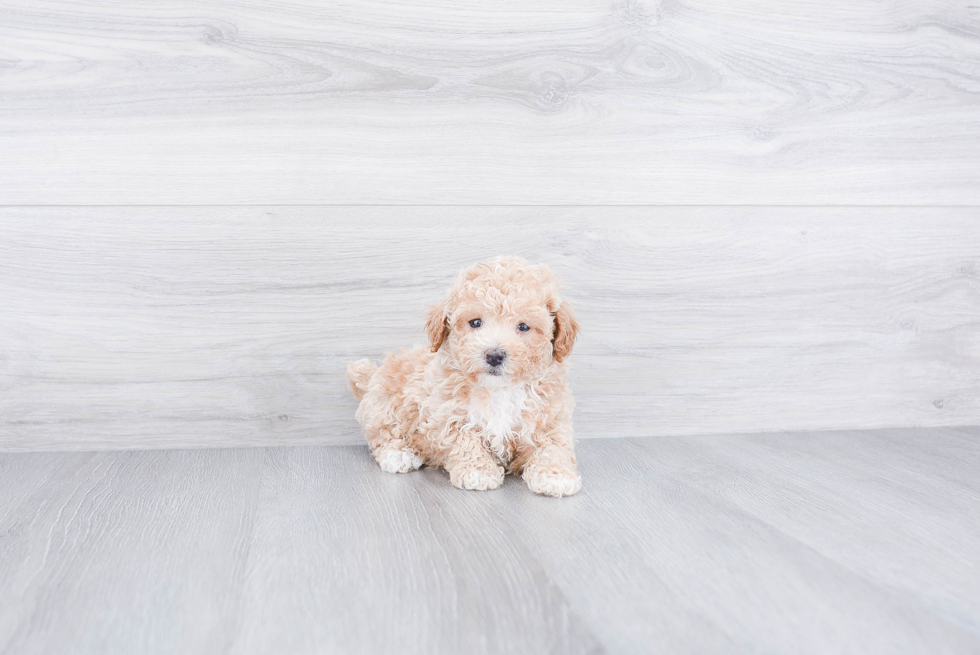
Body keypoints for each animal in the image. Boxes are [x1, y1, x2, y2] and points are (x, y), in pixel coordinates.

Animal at [346, 256, 580, 498]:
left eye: (523, 327)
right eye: (476, 322)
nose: (494, 355)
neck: (499, 389)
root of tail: (374, 376)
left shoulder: (550, 418)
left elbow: (554, 446)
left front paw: (555, 476)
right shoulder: (448, 414)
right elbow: (465, 439)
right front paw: (478, 472)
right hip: (388, 406)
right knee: (382, 435)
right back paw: (398, 455)